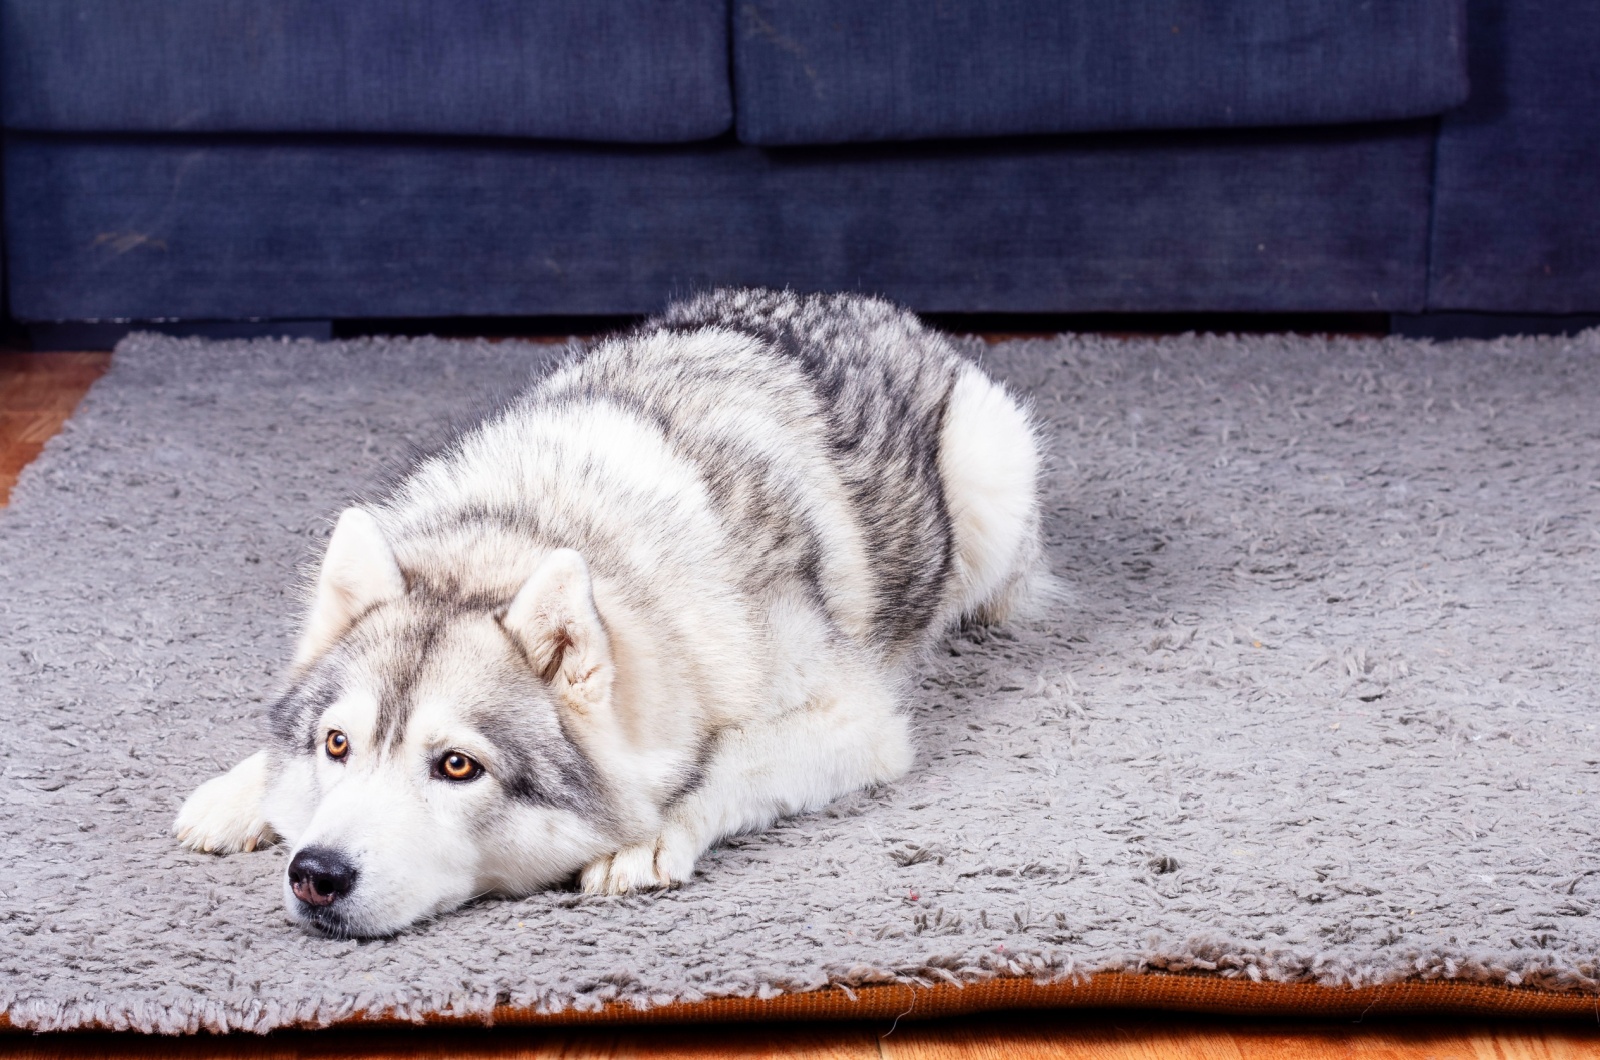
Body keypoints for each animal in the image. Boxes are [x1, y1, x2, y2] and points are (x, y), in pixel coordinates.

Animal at [175, 288, 1043, 941]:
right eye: (337, 744)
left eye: (457, 766)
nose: (314, 874)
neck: (534, 528)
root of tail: (867, 305)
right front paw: (241, 792)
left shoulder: (861, 725)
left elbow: (730, 760)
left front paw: (652, 831)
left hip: (992, 485)